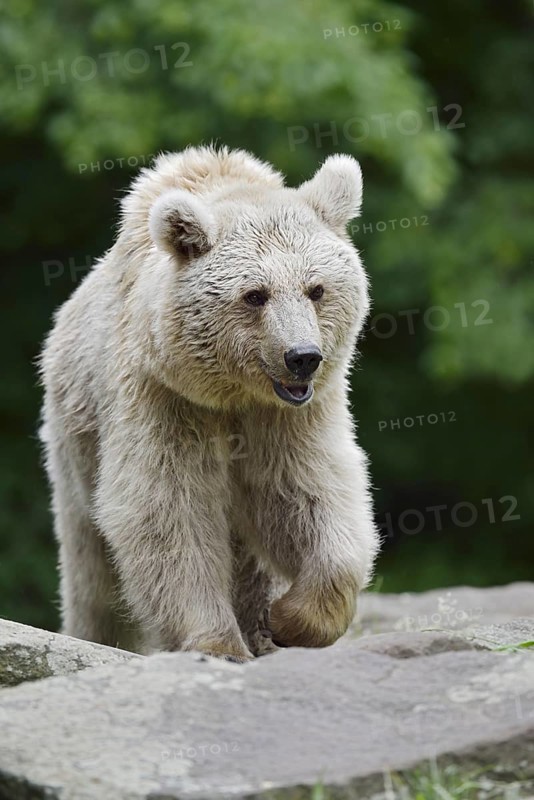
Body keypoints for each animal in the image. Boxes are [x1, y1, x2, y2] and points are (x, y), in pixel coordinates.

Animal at [39, 145, 379, 660]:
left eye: (316, 289)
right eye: (255, 295)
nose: (302, 357)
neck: (232, 393)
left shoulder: (289, 416)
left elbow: (307, 488)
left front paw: (291, 618)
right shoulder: (164, 396)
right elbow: (167, 507)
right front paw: (217, 642)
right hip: (76, 438)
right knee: (91, 569)